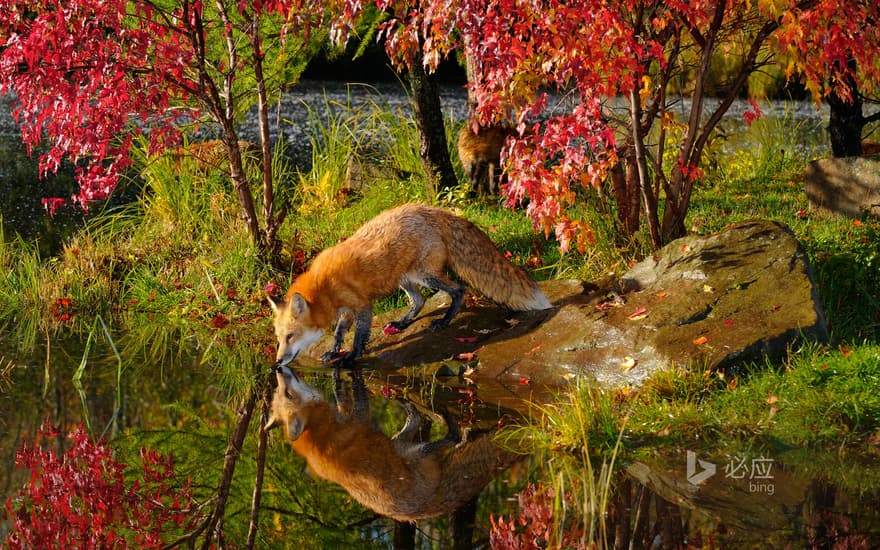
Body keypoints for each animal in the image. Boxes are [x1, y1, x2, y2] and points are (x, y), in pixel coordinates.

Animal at [264, 366, 520, 520]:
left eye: (283, 393)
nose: (278, 367)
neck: (317, 432)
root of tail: (424, 510)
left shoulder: (350, 416)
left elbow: (341, 393)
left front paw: (339, 370)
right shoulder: (360, 417)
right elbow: (352, 392)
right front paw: (346, 374)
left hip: (398, 445)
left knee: (415, 418)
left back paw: (405, 401)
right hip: (416, 453)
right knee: (450, 436)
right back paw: (448, 421)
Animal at [266, 203, 552, 366]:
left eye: (291, 336)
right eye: (279, 338)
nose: (278, 362)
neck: (324, 286)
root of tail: (433, 210)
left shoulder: (362, 306)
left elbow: (358, 336)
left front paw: (351, 357)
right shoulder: (347, 309)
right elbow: (338, 332)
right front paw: (333, 351)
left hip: (422, 273)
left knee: (458, 290)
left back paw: (444, 321)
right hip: (404, 277)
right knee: (420, 300)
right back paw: (402, 323)